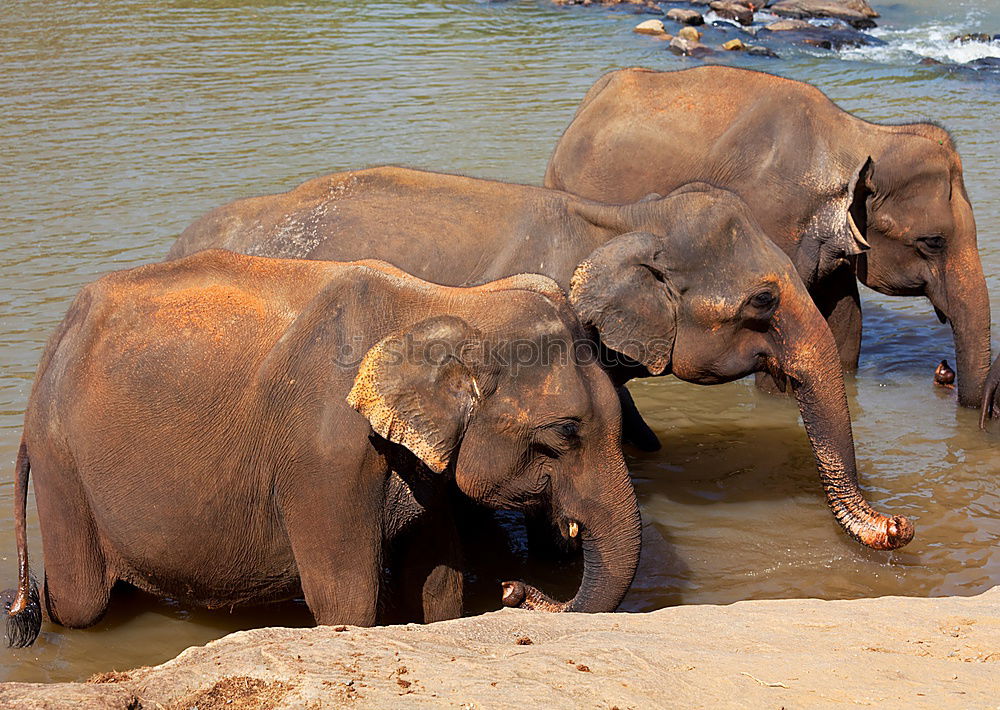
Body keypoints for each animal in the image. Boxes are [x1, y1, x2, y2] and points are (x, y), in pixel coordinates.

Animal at [1, 252, 640, 652]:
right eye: (564, 435)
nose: (513, 589)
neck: (451, 301)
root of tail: (53, 344)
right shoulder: (325, 459)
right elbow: (346, 601)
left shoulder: (415, 461)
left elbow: (438, 580)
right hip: (61, 463)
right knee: (80, 602)